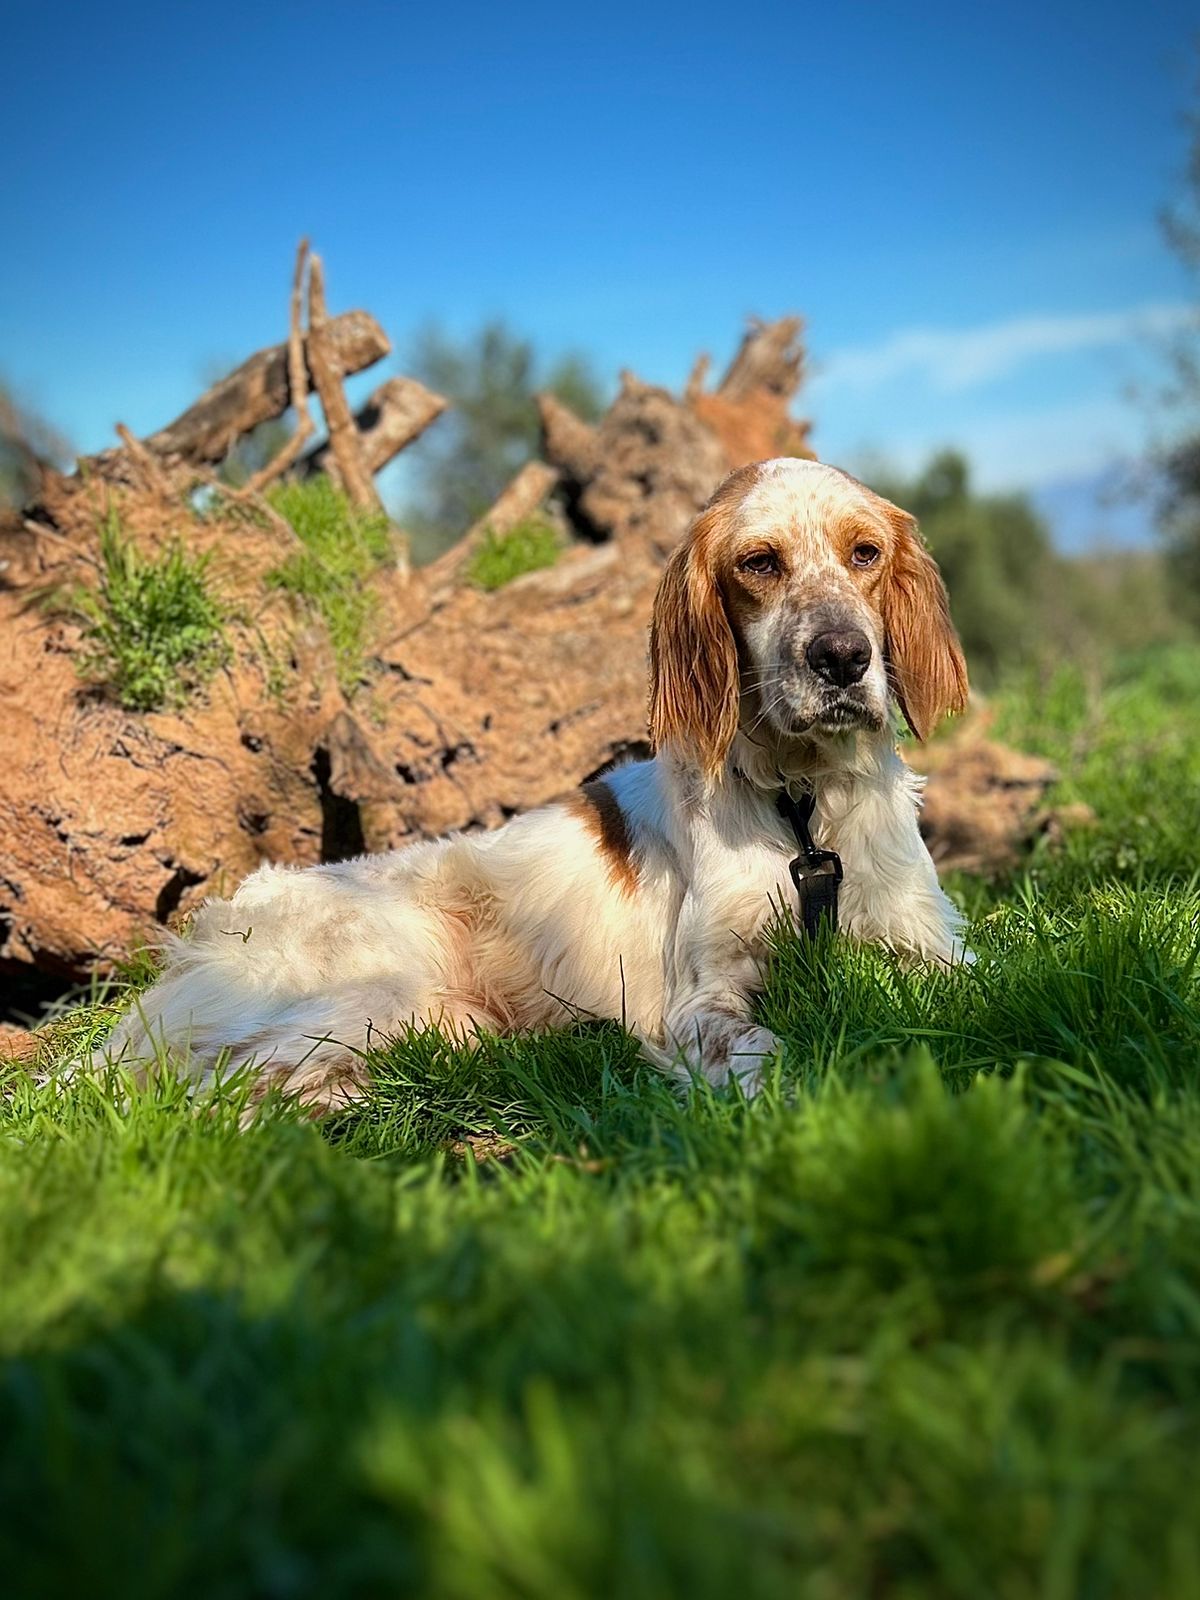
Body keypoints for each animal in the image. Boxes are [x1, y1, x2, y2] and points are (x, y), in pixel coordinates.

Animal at [100, 458, 969, 1109]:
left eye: (864, 553)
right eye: (759, 563)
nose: (843, 656)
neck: (804, 807)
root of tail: (202, 939)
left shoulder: (933, 943)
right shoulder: (701, 998)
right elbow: (764, 1050)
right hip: (374, 993)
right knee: (226, 1095)